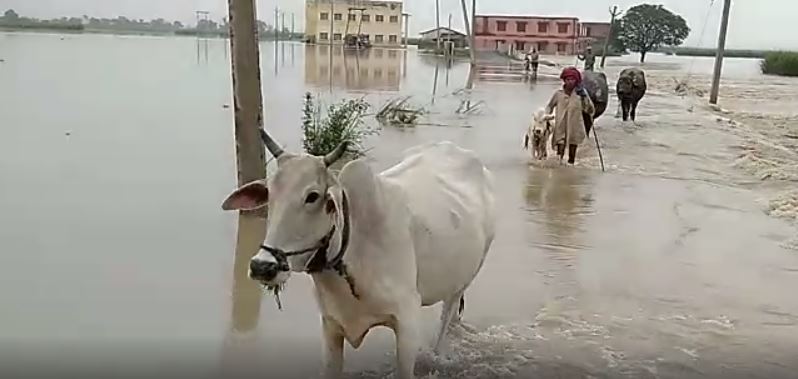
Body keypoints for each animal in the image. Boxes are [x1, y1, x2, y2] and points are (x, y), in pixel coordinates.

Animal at [222, 131, 496, 379]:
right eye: (270, 194)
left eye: (312, 196)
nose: (262, 266)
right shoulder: (331, 325)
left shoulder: (407, 323)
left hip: (463, 281)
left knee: (447, 316)